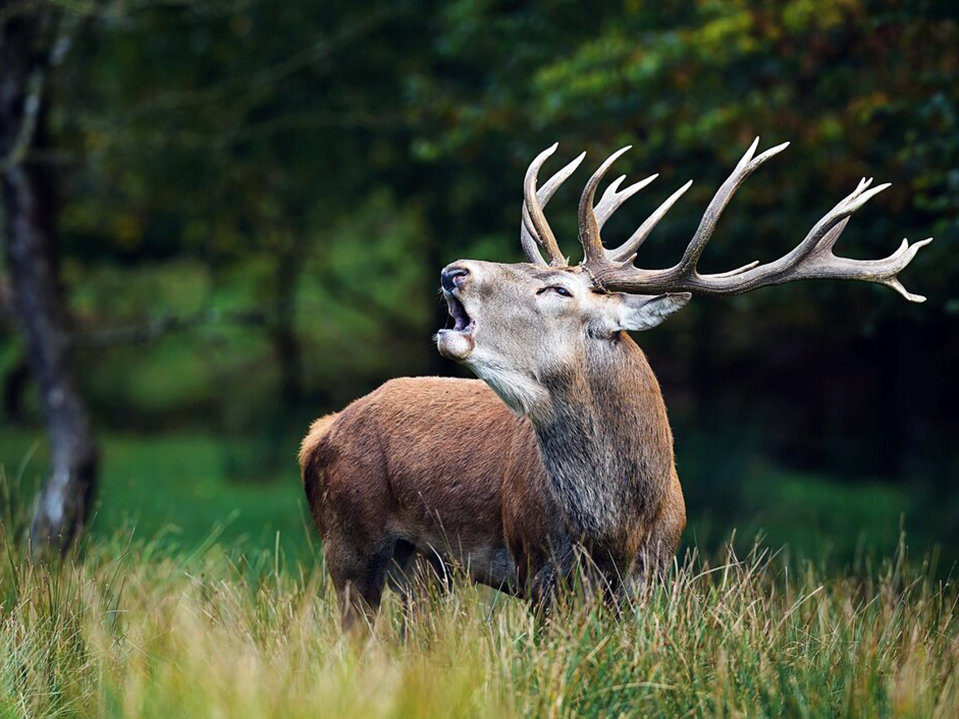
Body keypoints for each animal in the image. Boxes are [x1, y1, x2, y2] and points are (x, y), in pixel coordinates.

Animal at [302, 138, 928, 632]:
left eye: (557, 289)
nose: (454, 270)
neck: (616, 524)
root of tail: (321, 432)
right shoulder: (539, 567)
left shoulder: (650, 575)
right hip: (349, 542)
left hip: (424, 568)